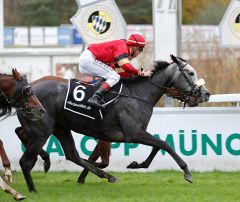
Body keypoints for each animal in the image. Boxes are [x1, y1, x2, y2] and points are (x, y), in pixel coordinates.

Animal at [16, 55, 208, 193]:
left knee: (71, 155)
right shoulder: (133, 134)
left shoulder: (133, 133)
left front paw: (136, 164)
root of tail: (26, 90)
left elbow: (158, 145)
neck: (139, 94)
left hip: (60, 127)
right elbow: (164, 144)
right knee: (26, 160)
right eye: (191, 73)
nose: (205, 94)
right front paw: (187, 172)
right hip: (42, 130)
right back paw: (33, 188)